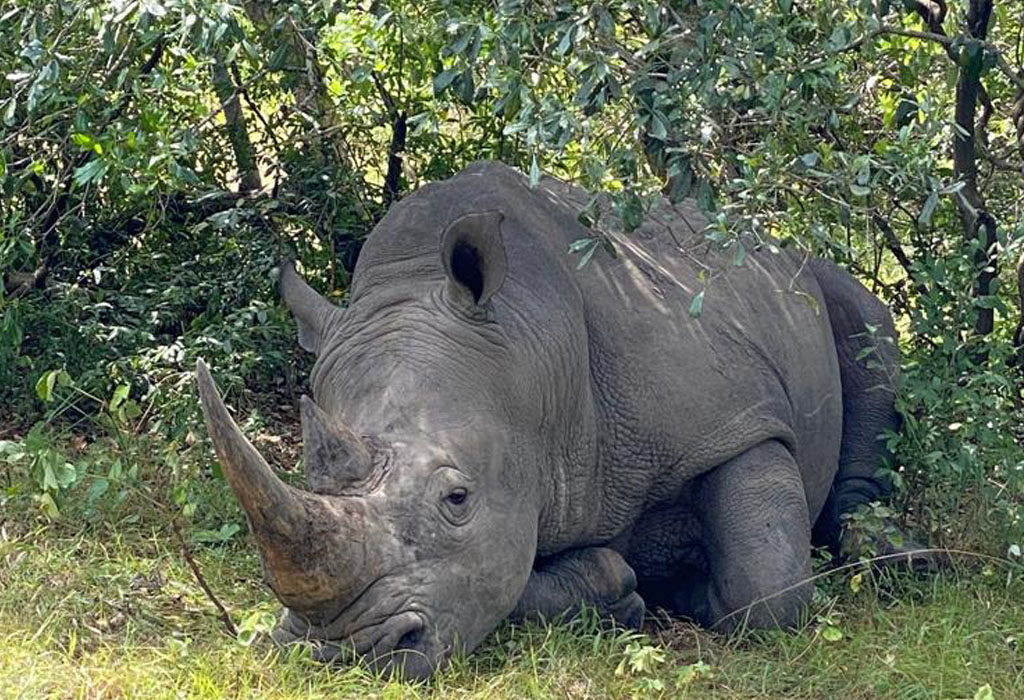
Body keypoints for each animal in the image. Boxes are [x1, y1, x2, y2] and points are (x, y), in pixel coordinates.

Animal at [195, 160, 905, 679]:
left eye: (457, 498)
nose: (344, 651)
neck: (530, 356)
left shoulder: (734, 420)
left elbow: (767, 587)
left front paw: (686, 582)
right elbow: (500, 579)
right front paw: (623, 587)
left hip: (799, 277)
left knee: (867, 322)